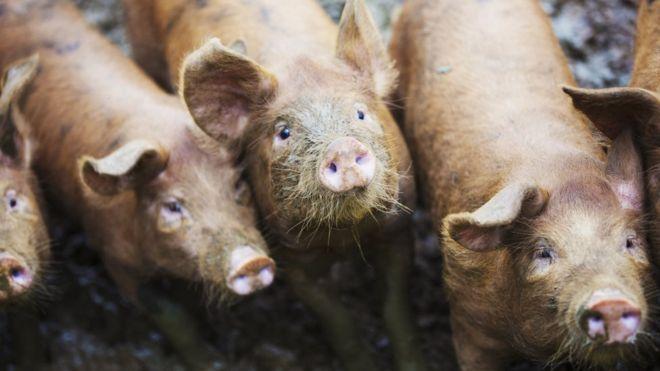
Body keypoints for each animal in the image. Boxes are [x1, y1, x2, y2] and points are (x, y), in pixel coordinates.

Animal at [122, 0, 422, 370]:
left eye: (361, 113)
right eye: (284, 132)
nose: (342, 147)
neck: (345, 236)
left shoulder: (398, 227)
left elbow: (395, 308)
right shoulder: (289, 255)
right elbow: (334, 317)